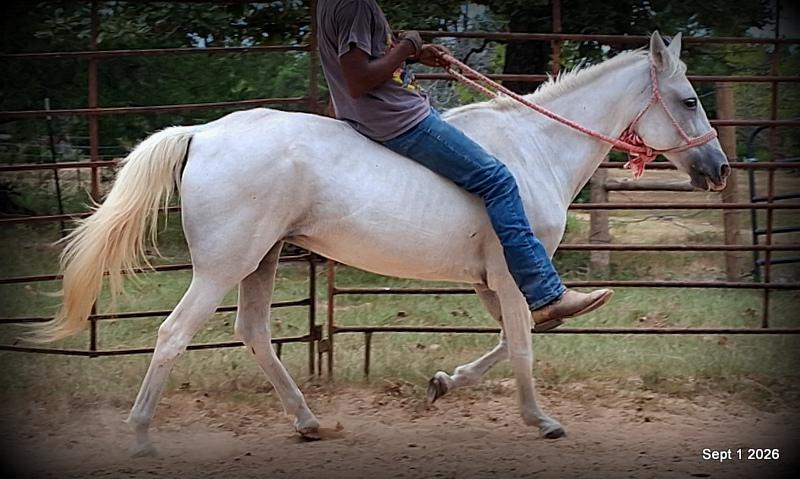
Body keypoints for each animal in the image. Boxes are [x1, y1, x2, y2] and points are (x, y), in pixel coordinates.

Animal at [33, 31, 729, 456]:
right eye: (689, 99)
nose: (719, 169)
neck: (536, 149)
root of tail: (202, 134)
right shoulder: (511, 273)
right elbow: (526, 344)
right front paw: (544, 420)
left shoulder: (490, 281)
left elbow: (511, 340)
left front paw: (444, 382)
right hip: (223, 266)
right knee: (173, 334)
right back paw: (143, 436)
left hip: (262, 260)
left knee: (254, 332)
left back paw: (310, 423)